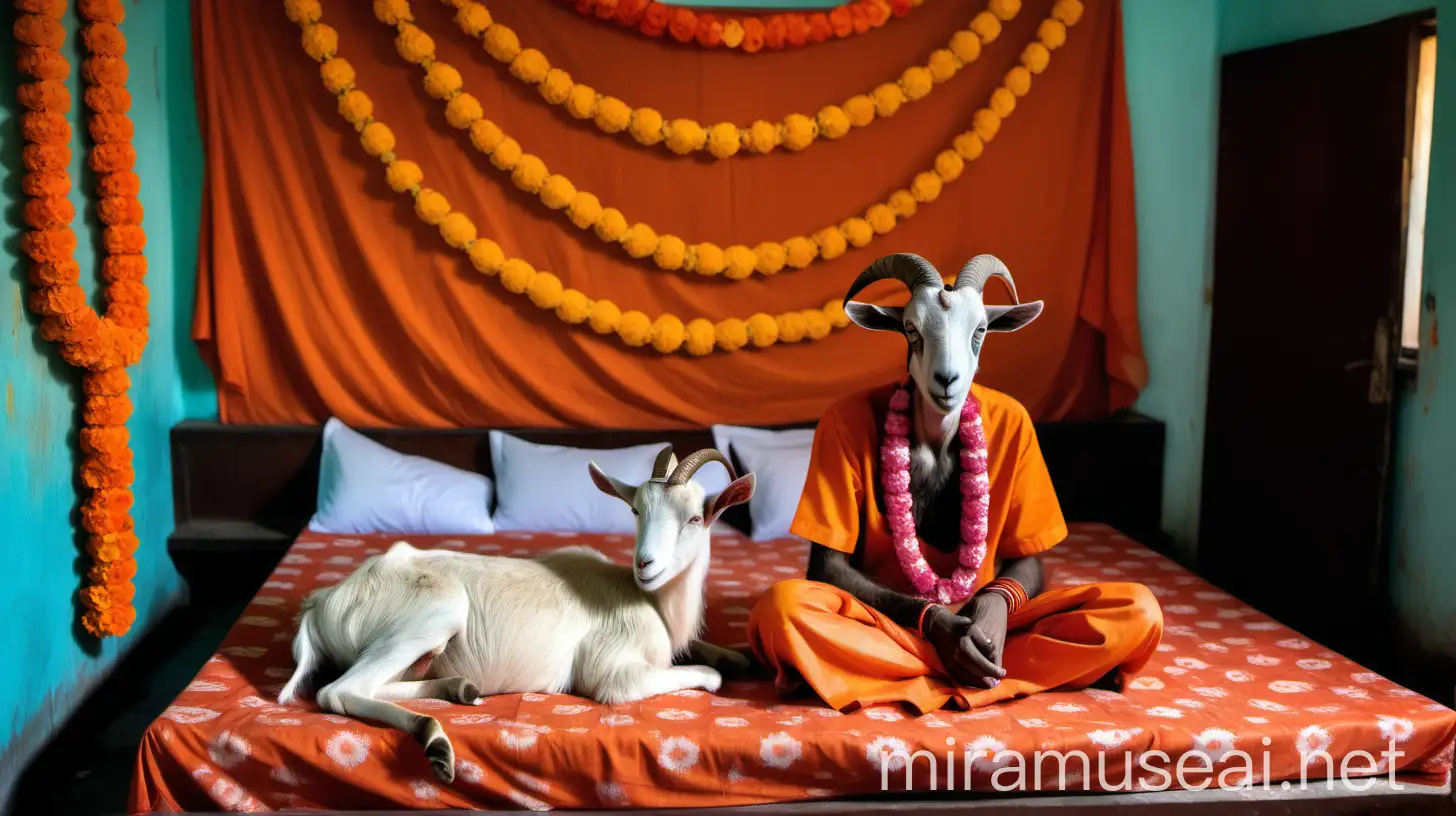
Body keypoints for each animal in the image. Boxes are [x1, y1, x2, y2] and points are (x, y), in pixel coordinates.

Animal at [278, 448, 757, 781]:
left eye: (695, 518)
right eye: (637, 509)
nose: (646, 564)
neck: (653, 605)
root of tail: (322, 603)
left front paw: (742, 656)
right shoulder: (614, 674)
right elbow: (703, 677)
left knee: (377, 685)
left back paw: (459, 689)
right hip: (435, 614)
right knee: (338, 691)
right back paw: (436, 742)